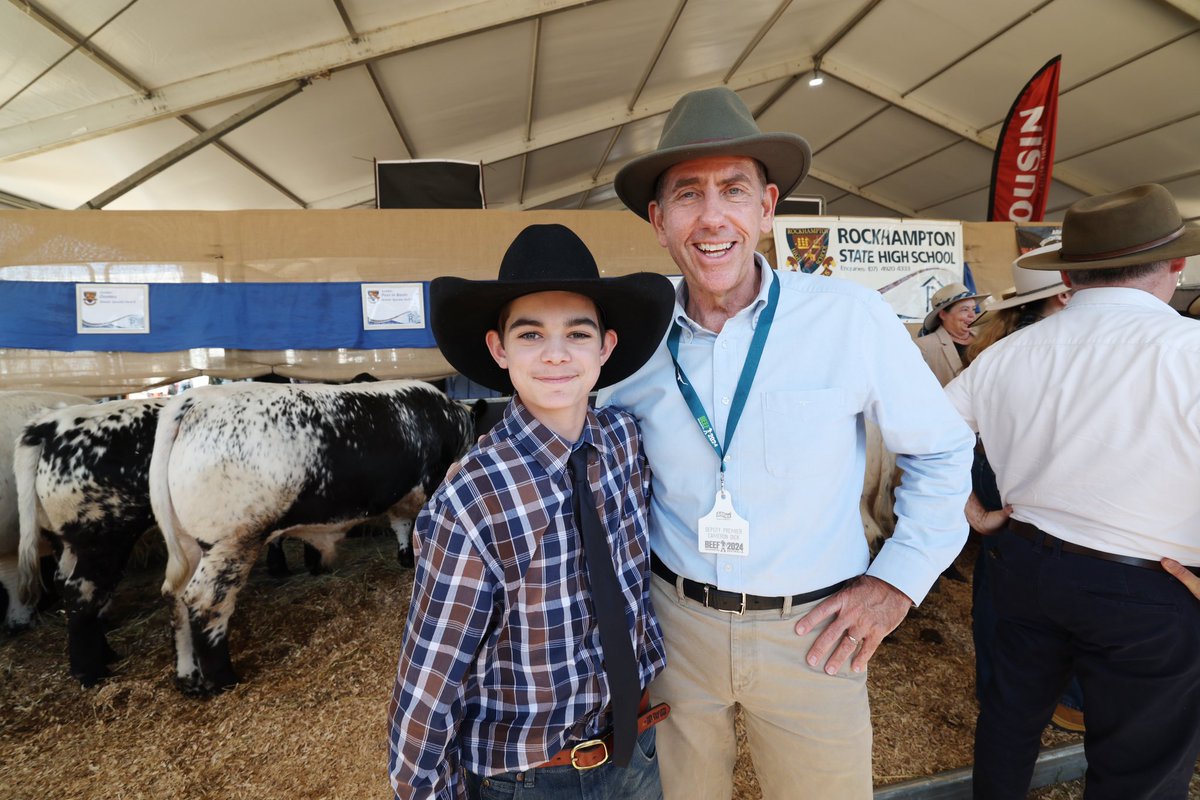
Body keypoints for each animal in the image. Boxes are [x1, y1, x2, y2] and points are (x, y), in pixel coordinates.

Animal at [15, 398, 166, 686]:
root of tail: (47, 423)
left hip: (66, 541)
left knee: (66, 585)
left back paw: (104, 655)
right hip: (104, 538)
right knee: (81, 594)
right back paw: (90, 672)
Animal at [152, 381, 480, 695]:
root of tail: (193, 400)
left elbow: (401, 524)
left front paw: (406, 558)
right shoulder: (431, 481)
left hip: (189, 545)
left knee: (174, 595)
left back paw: (189, 680)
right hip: (232, 542)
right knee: (206, 602)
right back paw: (223, 680)